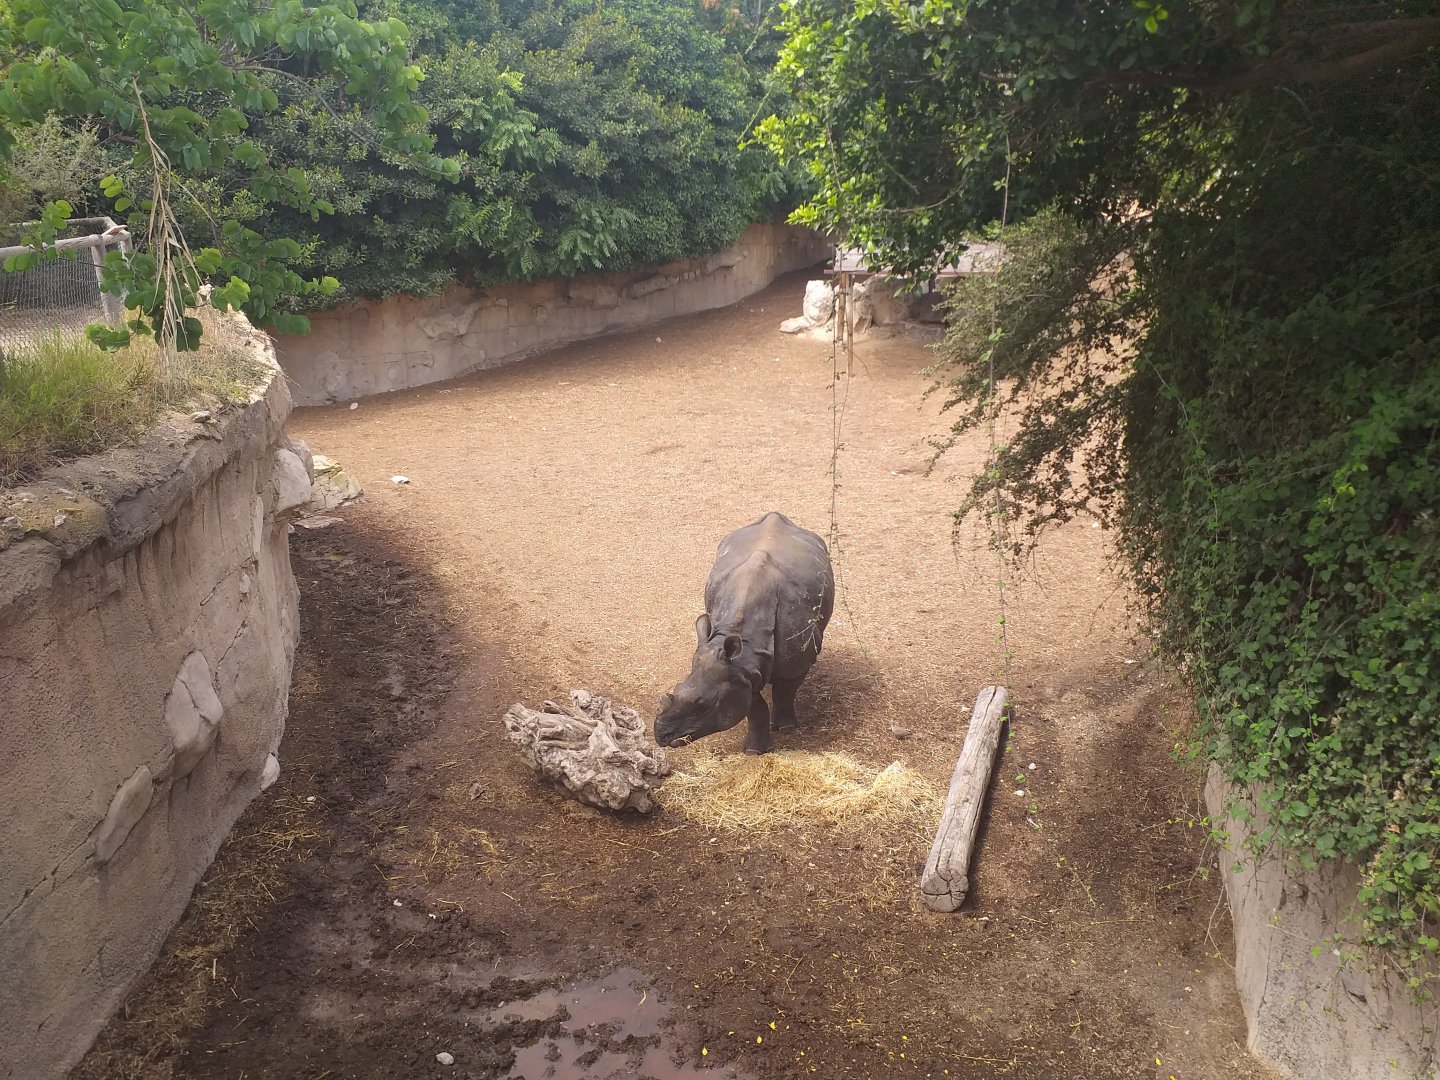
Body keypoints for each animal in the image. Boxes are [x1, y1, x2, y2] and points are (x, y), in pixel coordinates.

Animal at [654, 512, 835, 754]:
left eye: (702, 705)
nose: (661, 736)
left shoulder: (791, 666)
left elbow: (785, 691)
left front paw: (786, 729)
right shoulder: (740, 673)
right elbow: (754, 707)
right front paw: (754, 751)